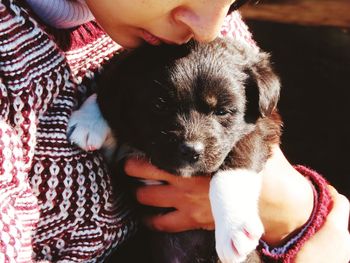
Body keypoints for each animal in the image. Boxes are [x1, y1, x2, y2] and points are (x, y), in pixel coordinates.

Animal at [67, 37, 282, 263]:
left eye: (222, 111)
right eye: (159, 106)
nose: (191, 151)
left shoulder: (263, 125)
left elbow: (234, 169)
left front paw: (235, 228)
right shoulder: (120, 159)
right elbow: (109, 96)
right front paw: (88, 121)